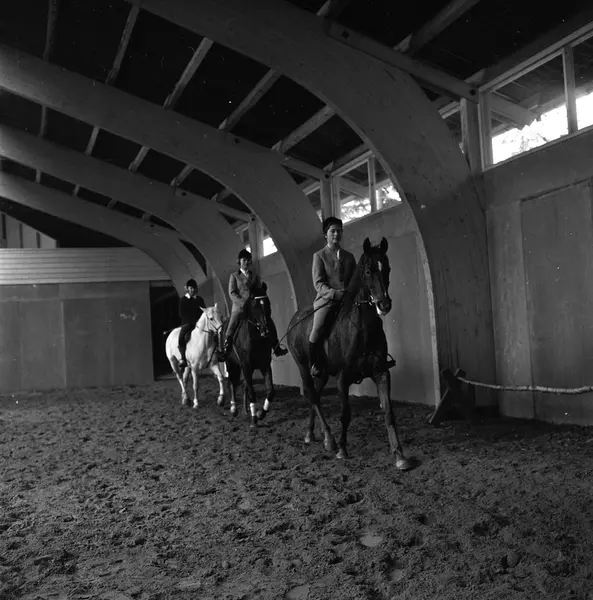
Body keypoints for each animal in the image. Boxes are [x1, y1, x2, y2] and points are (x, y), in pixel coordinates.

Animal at [222, 294, 276, 427]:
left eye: (268, 304)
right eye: (255, 306)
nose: (265, 330)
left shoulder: (264, 364)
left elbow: (270, 391)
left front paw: (260, 413)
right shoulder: (246, 365)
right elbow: (252, 392)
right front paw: (253, 419)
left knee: (241, 384)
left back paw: (244, 410)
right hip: (231, 363)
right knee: (232, 383)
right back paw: (234, 409)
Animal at [286, 238, 413, 471]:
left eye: (387, 268)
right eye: (368, 271)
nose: (384, 304)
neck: (362, 328)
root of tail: (295, 319)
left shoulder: (381, 372)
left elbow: (389, 412)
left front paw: (400, 455)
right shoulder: (343, 377)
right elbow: (345, 414)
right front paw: (342, 450)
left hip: (322, 372)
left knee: (315, 395)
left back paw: (311, 434)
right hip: (303, 367)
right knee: (312, 396)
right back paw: (329, 440)